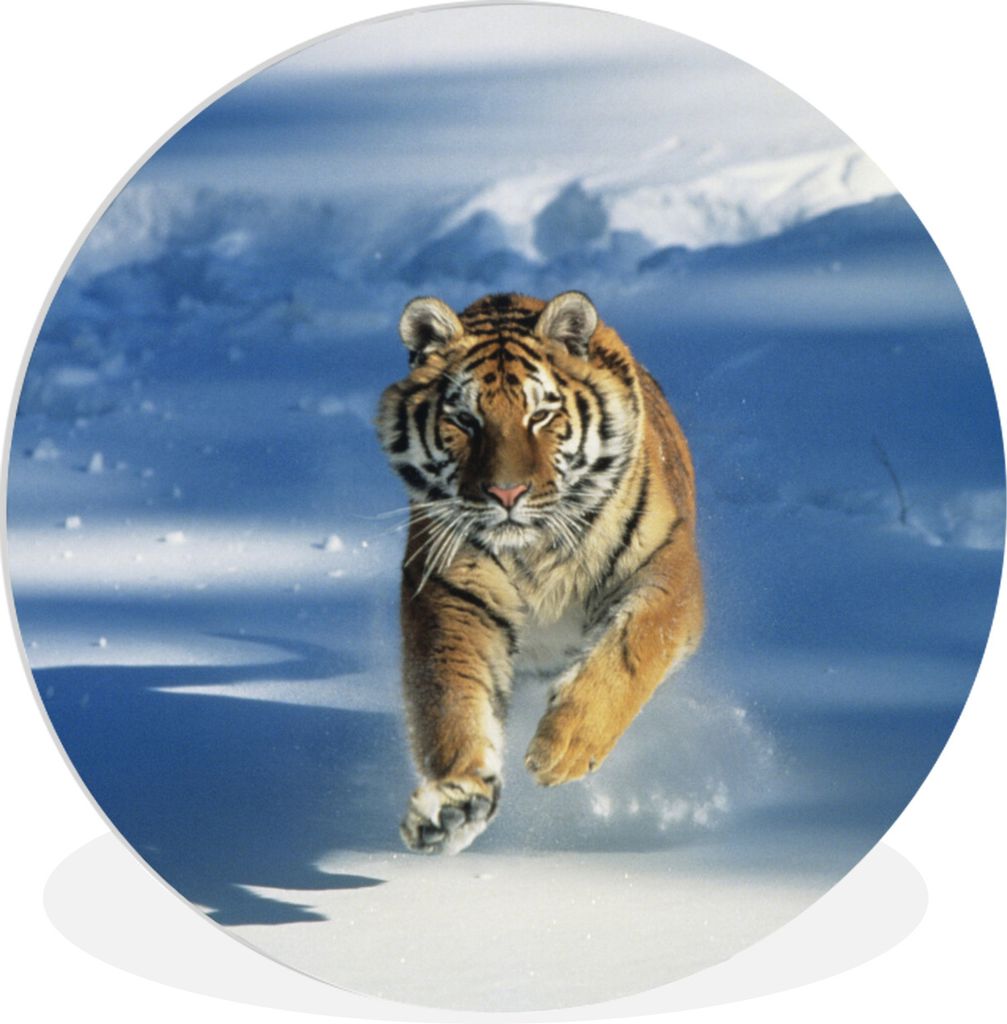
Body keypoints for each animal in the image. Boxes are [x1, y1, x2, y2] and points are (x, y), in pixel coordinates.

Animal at [377, 291, 703, 854]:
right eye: (465, 420)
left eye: (541, 415)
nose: (506, 493)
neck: (536, 552)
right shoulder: (452, 594)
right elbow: (452, 701)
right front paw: (454, 805)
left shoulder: (668, 569)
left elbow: (633, 649)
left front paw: (565, 747)